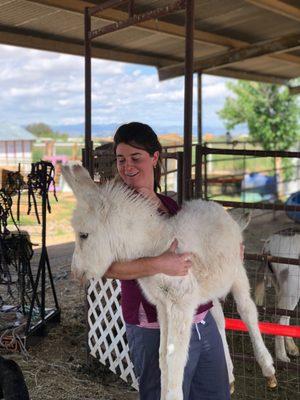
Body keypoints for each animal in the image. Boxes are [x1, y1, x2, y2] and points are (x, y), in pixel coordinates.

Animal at [62, 166, 276, 400]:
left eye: (84, 235)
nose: (75, 273)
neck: (156, 244)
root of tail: (221, 210)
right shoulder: (163, 306)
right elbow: (163, 355)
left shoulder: (180, 303)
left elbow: (174, 357)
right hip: (208, 286)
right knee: (219, 317)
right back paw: (229, 376)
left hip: (236, 271)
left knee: (247, 310)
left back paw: (268, 368)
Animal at [255, 228, 300, 362]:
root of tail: (268, 244)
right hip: (292, 286)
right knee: (280, 318)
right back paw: (283, 357)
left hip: (279, 284)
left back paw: (293, 350)